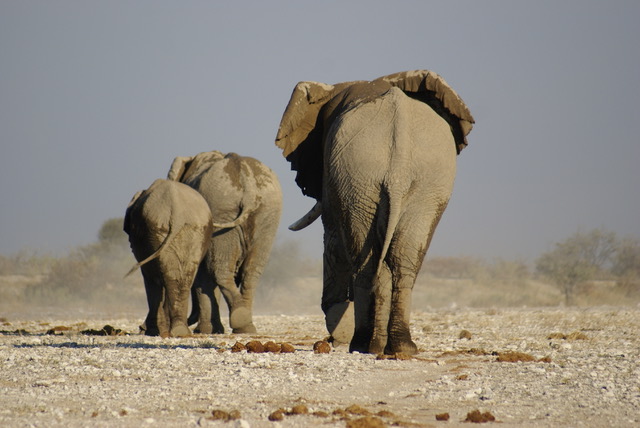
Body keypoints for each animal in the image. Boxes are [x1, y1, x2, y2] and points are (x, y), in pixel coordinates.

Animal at [124, 177, 214, 338]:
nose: (141, 328)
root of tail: (177, 211)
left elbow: (150, 278)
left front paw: (151, 331)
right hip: (192, 231)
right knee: (183, 276)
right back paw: (180, 332)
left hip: (156, 230)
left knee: (161, 278)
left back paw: (166, 331)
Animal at [168, 150, 282, 334]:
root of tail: (248, 184)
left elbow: (202, 275)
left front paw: (204, 331)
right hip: (267, 211)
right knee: (252, 271)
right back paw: (246, 327)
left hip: (221, 208)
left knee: (219, 269)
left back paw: (240, 322)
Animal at [276, 70, 476, 356]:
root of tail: (399, 165)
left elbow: (333, 240)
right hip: (410, 182)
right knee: (401, 261)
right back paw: (399, 347)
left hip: (363, 177)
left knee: (367, 262)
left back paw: (364, 344)